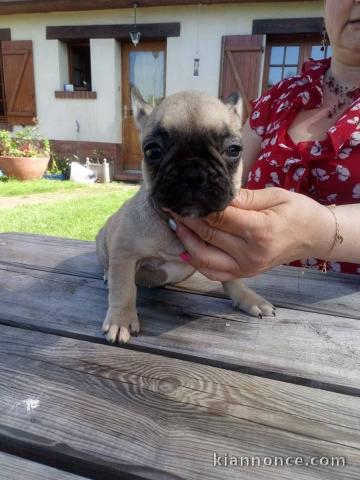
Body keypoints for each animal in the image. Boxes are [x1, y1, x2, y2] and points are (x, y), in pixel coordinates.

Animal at [95, 85, 272, 342]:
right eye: (153, 151)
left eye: (234, 150)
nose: (193, 172)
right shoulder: (124, 253)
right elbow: (123, 288)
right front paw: (121, 320)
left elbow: (233, 279)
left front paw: (247, 297)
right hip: (101, 241)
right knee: (108, 268)